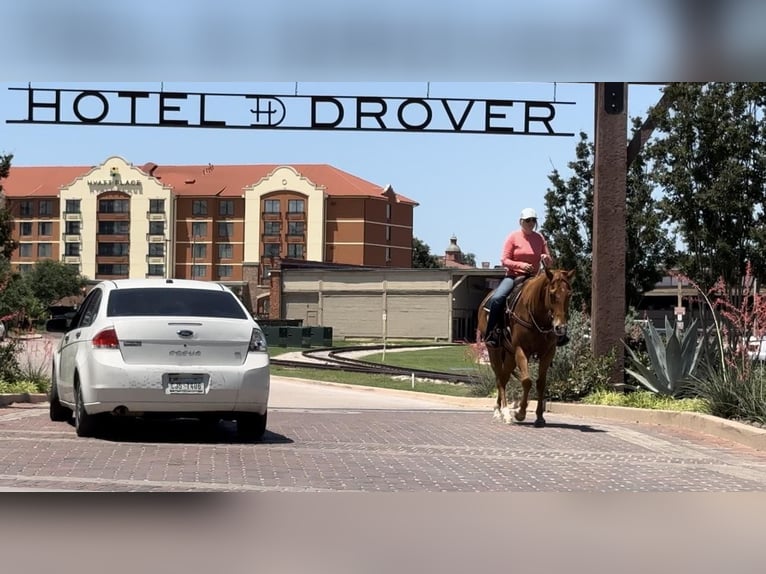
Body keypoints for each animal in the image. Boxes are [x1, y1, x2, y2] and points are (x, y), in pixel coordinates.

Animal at [474, 270, 576, 428]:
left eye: (569, 294)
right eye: (552, 293)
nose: (560, 327)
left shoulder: (548, 353)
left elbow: (541, 383)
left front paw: (539, 417)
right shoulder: (521, 350)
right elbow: (527, 381)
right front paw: (520, 413)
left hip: (510, 355)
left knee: (504, 377)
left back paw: (501, 410)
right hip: (494, 351)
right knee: (499, 379)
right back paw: (503, 412)